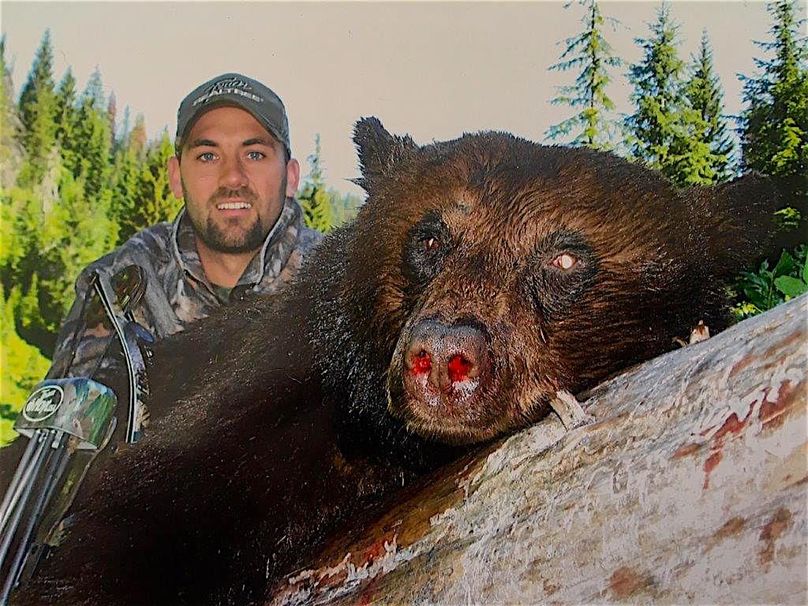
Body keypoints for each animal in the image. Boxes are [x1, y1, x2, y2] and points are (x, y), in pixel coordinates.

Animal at [11, 117, 777, 606]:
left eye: (563, 257)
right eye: (430, 238)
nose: (442, 353)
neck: (394, 449)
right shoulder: (265, 403)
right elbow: (131, 526)